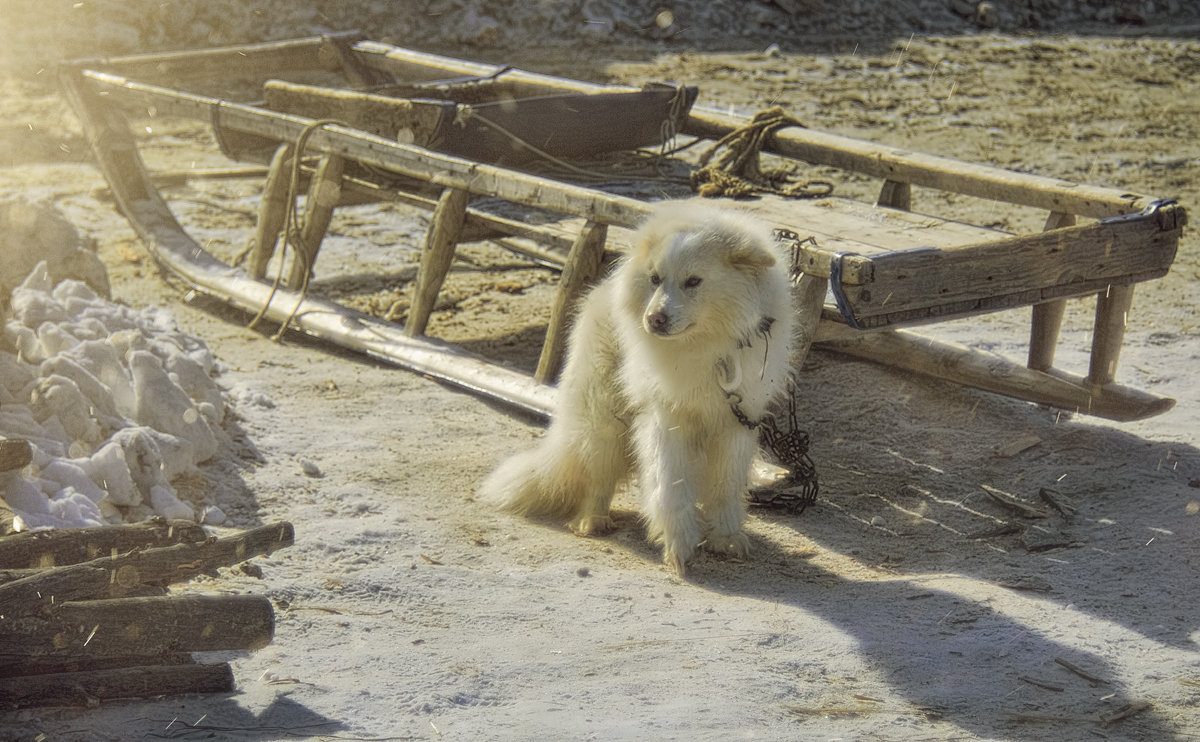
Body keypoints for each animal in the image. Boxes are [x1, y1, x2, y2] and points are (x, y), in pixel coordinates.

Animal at [477, 204, 796, 578]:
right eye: (655, 278)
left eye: (693, 281)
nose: (654, 319)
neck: (706, 346)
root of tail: (604, 288)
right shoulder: (665, 418)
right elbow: (670, 487)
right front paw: (678, 547)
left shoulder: (736, 422)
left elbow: (726, 487)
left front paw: (727, 538)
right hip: (602, 421)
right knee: (597, 477)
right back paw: (592, 520)